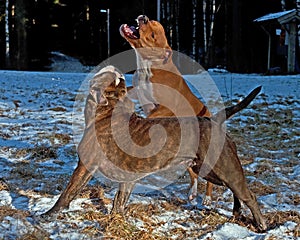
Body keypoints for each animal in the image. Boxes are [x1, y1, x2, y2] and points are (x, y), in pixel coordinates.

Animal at [43, 66, 266, 232]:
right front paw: (117, 221)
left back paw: (261, 225)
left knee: (248, 195)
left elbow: (67, 194)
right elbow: (119, 202)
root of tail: (214, 120)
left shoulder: (85, 166)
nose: (117, 70)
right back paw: (237, 213)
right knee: (237, 192)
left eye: (115, 79)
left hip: (223, 168)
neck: (106, 111)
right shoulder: (128, 179)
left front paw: (47, 216)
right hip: (212, 171)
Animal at [119, 15, 213, 203]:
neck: (149, 66)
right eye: (152, 22)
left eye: (153, 35)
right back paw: (192, 192)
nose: (144, 18)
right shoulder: (137, 89)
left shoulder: (165, 108)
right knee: (193, 173)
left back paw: (207, 197)